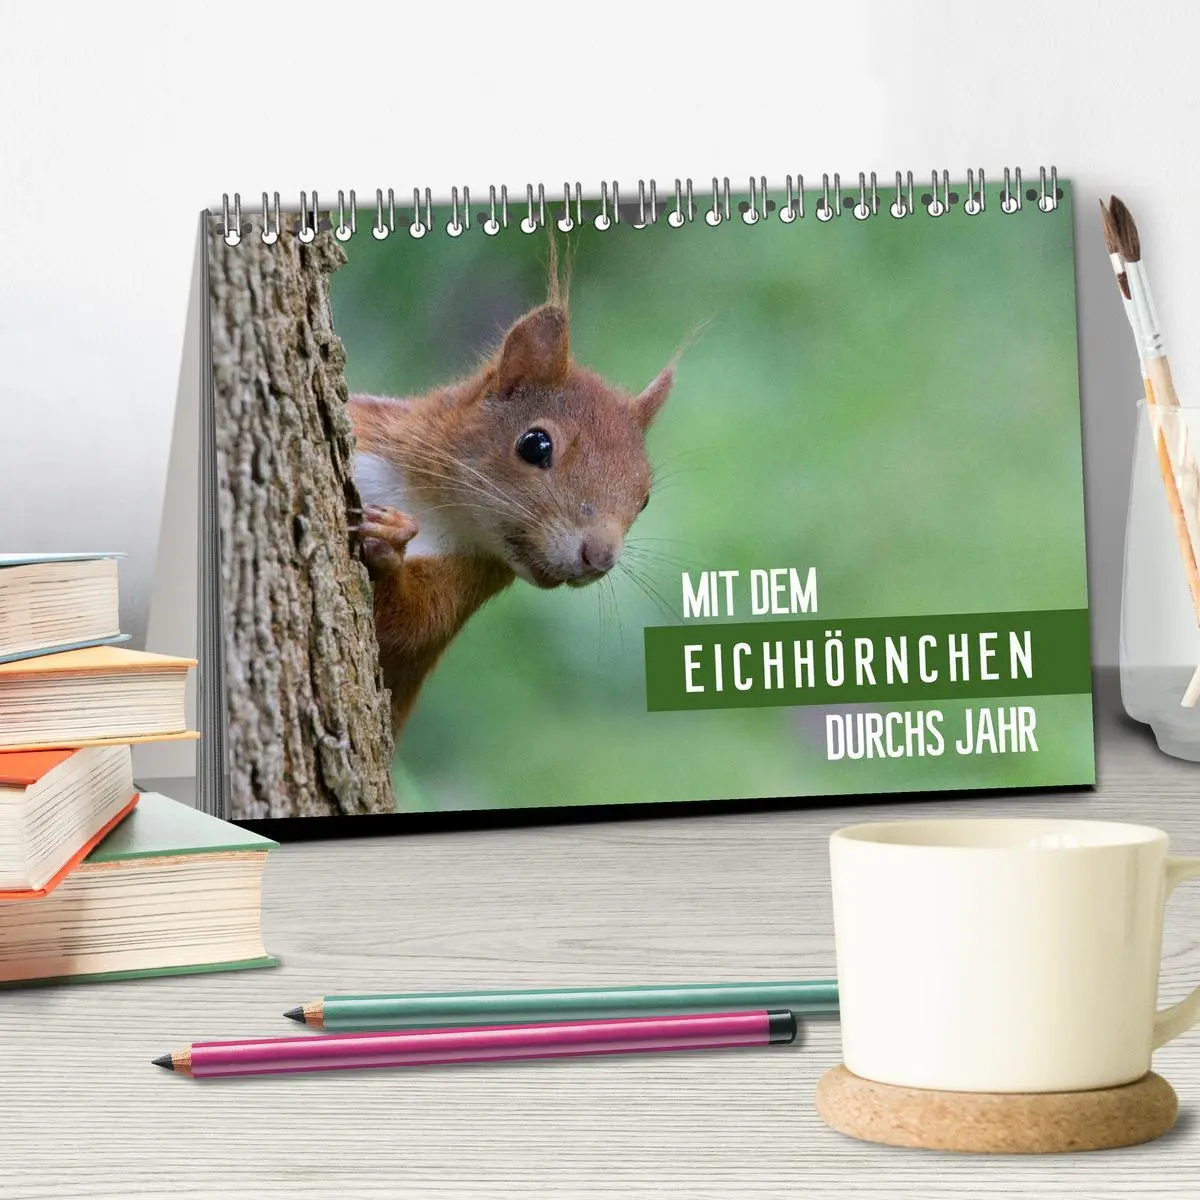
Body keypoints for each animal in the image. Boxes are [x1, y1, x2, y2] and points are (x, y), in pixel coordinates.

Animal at [347, 244, 676, 737]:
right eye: (535, 444)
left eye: (645, 498)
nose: (600, 558)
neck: (428, 501)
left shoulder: (469, 579)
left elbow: (408, 624)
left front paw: (388, 545)